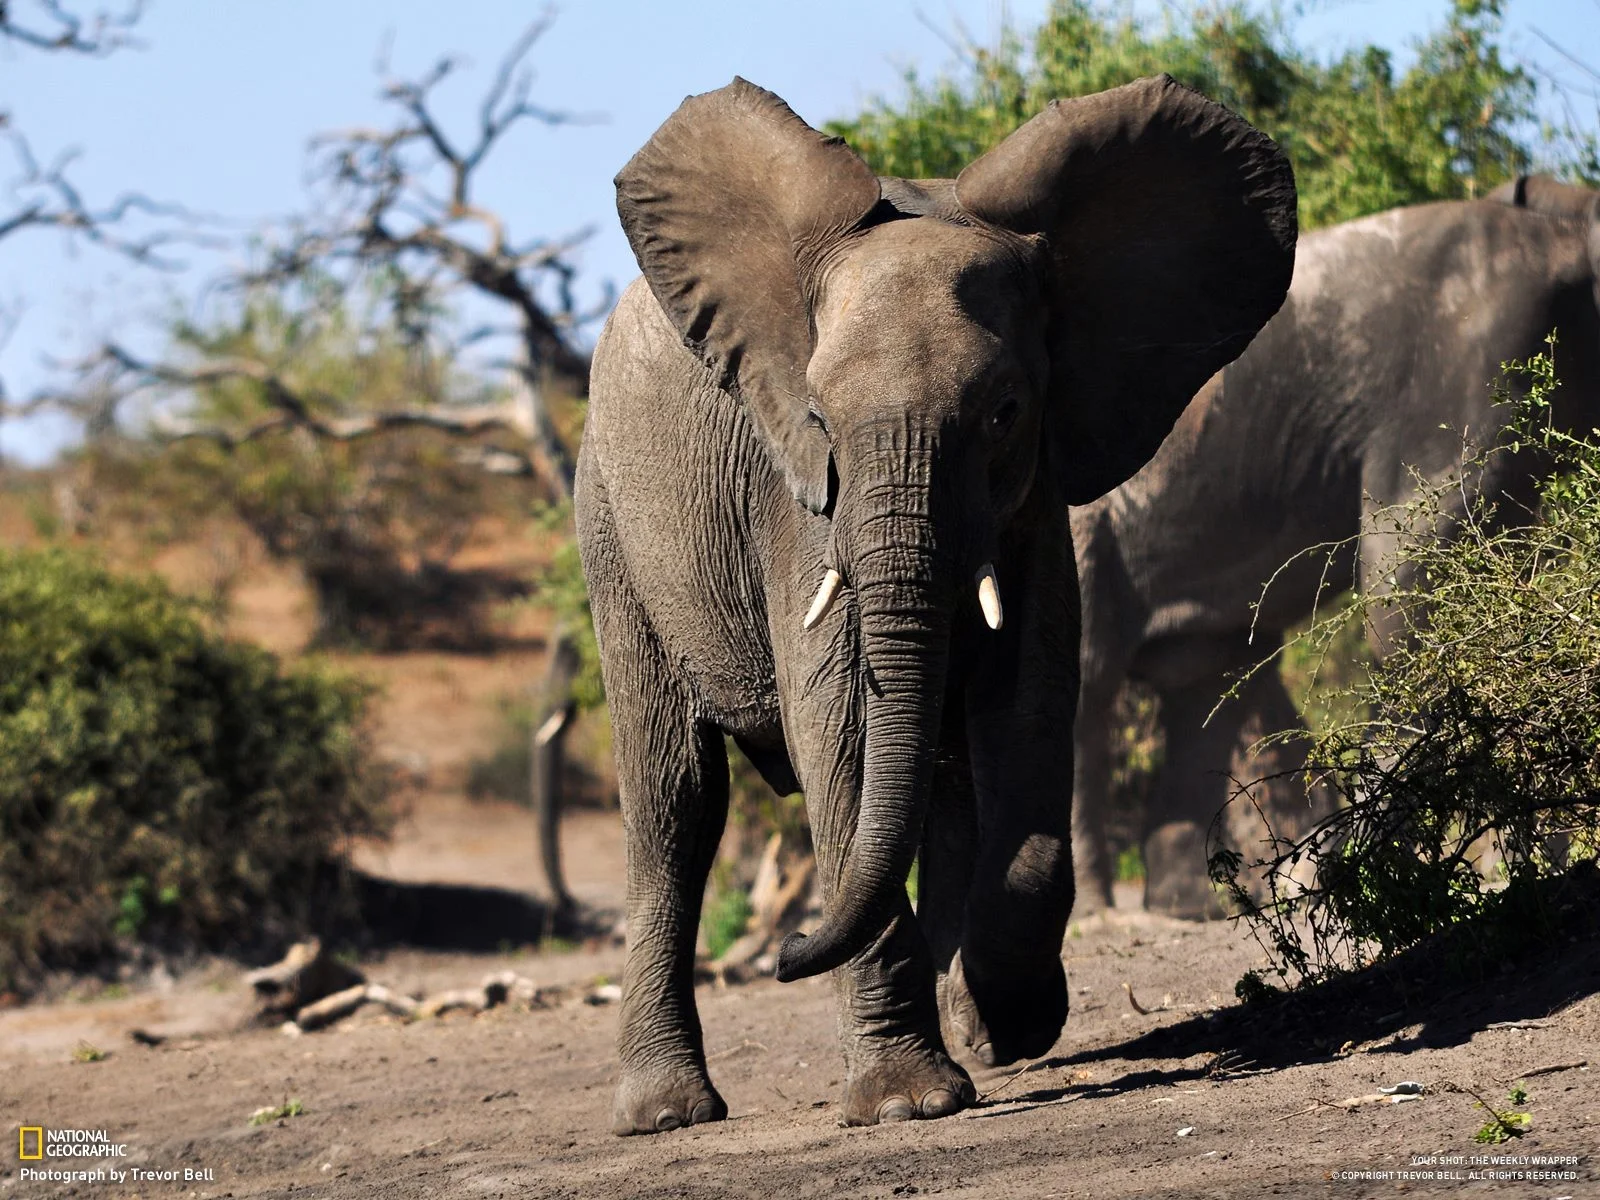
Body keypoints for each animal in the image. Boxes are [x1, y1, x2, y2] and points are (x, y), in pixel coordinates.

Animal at [575, 75, 1296, 1135]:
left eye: (1003, 412)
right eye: (820, 418)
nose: (786, 951)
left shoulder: (1035, 498)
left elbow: (1028, 707)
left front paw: (1009, 1022)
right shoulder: (800, 504)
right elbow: (842, 728)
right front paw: (906, 1107)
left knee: (946, 776)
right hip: (612, 529)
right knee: (677, 803)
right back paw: (668, 1115)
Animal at [1071, 175, 1600, 920]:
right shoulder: (1469, 364)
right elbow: (1409, 591)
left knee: (1208, 676)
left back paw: (1197, 907)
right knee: (1093, 680)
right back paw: (1103, 912)